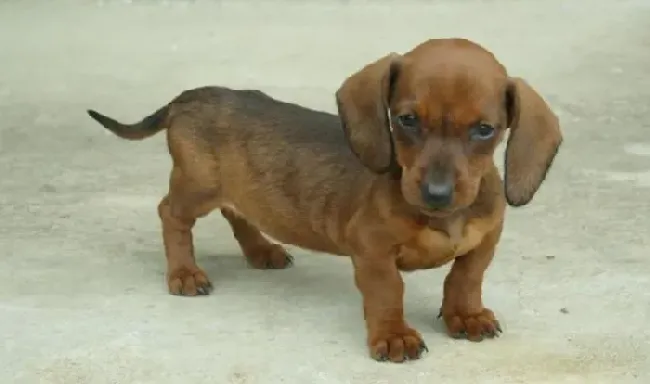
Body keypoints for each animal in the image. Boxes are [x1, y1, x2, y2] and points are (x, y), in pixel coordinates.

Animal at [87, 38, 560, 364]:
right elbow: (389, 290)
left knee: (236, 212)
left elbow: (465, 276)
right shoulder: (371, 250)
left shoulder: (486, 239)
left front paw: (466, 314)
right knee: (171, 214)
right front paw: (394, 335)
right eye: (407, 120)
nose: (437, 194)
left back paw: (262, 250)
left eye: (485, 130)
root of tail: (190, 96)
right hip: (197, 185)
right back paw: (185, 272)